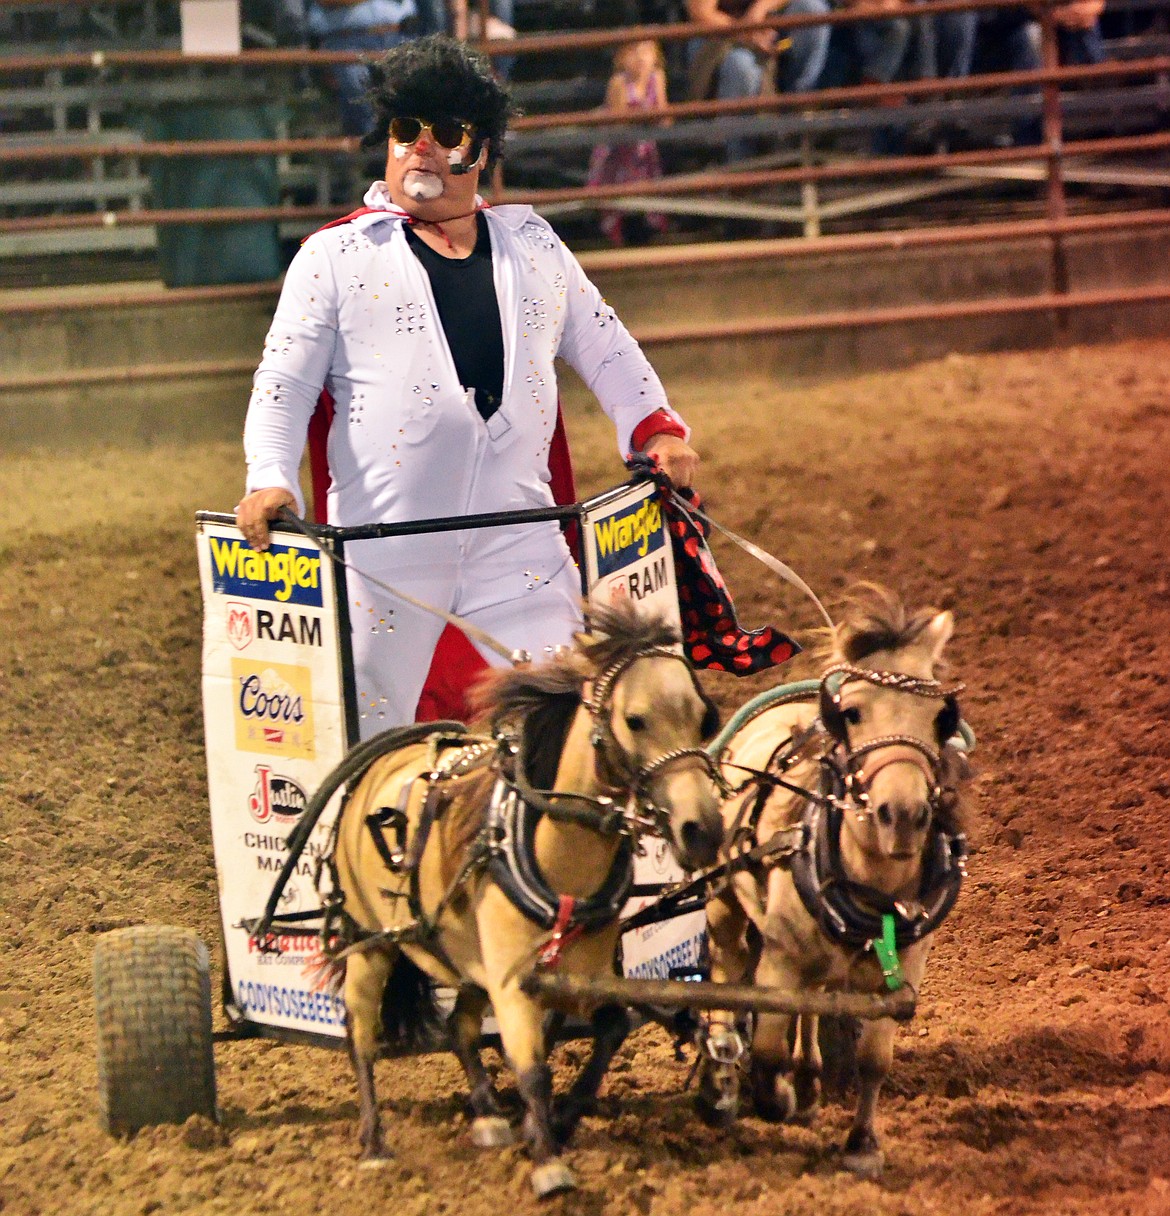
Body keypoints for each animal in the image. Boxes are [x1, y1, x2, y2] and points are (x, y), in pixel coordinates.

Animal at [695, 586, 972, 1177]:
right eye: (852, 712)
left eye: (940, 717)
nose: (903, 815)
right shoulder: (778, 960)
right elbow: (769, 1042)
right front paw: (773, 1098)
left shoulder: (904, 970)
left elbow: (874, 1060)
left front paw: (861, 1143)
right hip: (723, 902)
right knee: (729, 968)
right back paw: (727, 1079)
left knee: (817, 997)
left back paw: (808, 1080)